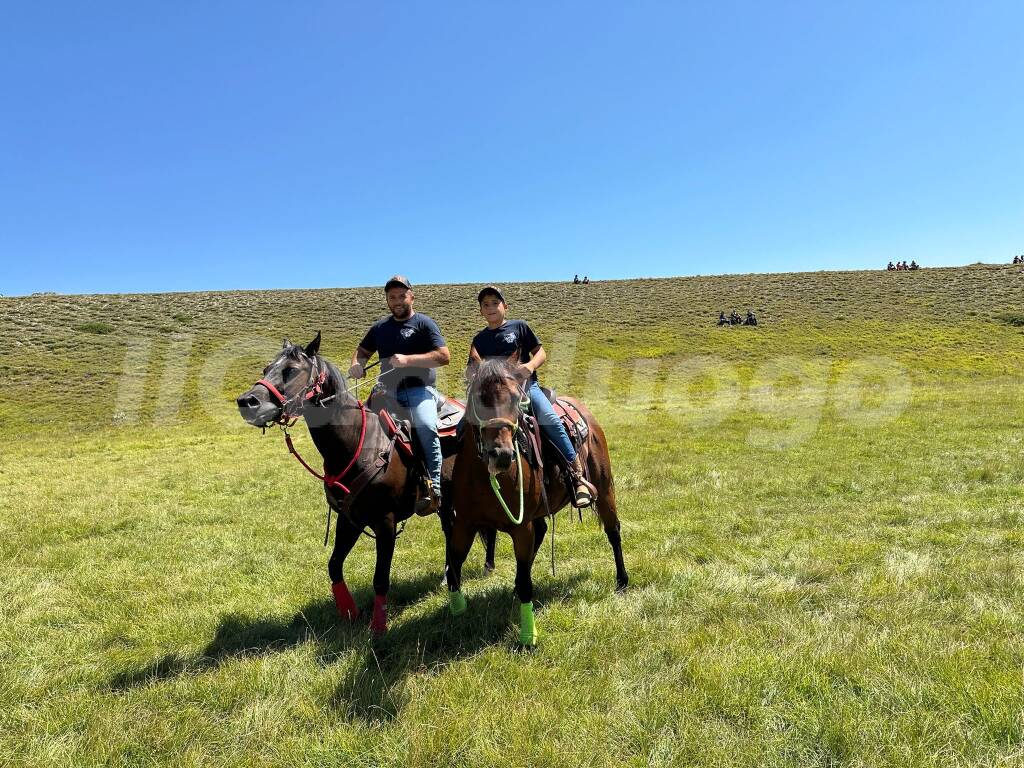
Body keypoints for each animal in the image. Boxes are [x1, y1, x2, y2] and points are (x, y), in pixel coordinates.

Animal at [235, 335, 456, 638]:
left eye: (291, 370)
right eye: (267, 368)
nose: (247, 401)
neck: (356, 442)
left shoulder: (384, 522)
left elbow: (380, 579)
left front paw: (378, 626)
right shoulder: (349, 519)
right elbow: (334, 565)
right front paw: (349, 612)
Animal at [446, 358, 622, 647]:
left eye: (516, 399)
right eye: (478, 398)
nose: (502, 454)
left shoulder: (521, 527)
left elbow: (527, 582)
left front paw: (528, 635)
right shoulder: (464, 524)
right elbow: (453, 568)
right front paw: (457, 611)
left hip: (605, 488)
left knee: (613, 531)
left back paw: (622, 581)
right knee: (541, 533)